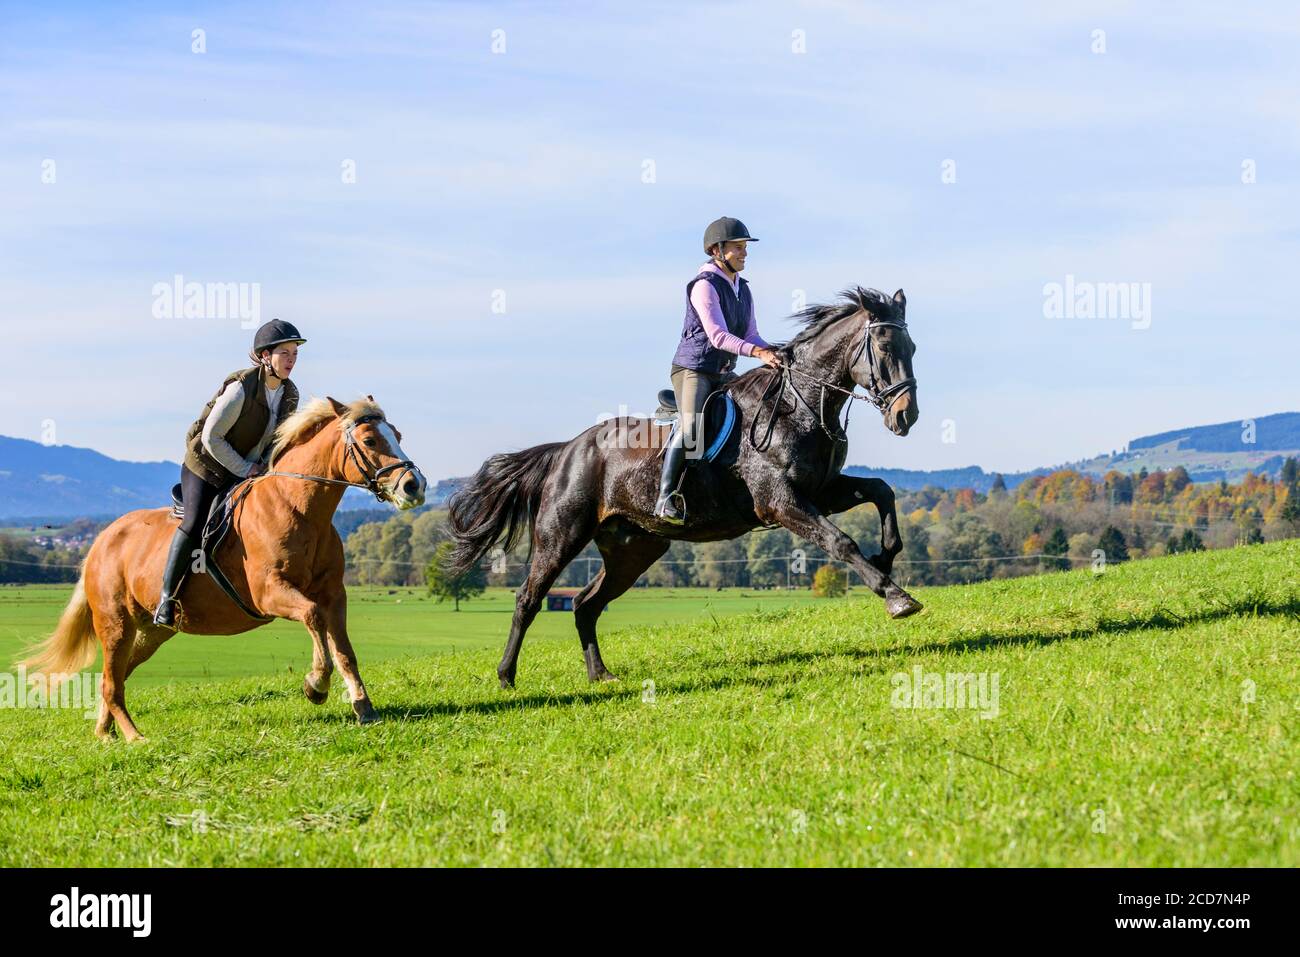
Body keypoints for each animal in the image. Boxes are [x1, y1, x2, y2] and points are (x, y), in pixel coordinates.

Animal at [19, 395, 426, 738]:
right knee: (110, 679)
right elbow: (312, 617)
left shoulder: (333, 595)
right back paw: (134, 737)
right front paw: (316, 685)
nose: (414, 486)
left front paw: (363, 707)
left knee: (116, 675)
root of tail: (101, 541)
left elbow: (342, 649)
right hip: (115, 623)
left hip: (151, 631)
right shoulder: (270, 593)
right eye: (370, 440)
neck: (299, 509)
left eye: (397, 435)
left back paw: (105, 733)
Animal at [452, 283, 920, 686]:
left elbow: (881, 490)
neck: (799, 403)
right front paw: (897, 597)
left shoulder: (821, 490)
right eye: (884, 347)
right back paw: (506, 676)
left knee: (586, 605)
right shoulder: (780, 501)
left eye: (912, 348)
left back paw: (600, 674)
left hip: (634, 549)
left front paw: (885, 556)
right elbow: (841, 541)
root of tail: (567, 449)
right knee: (528, 599)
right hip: (562, 535)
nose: (906, 416)